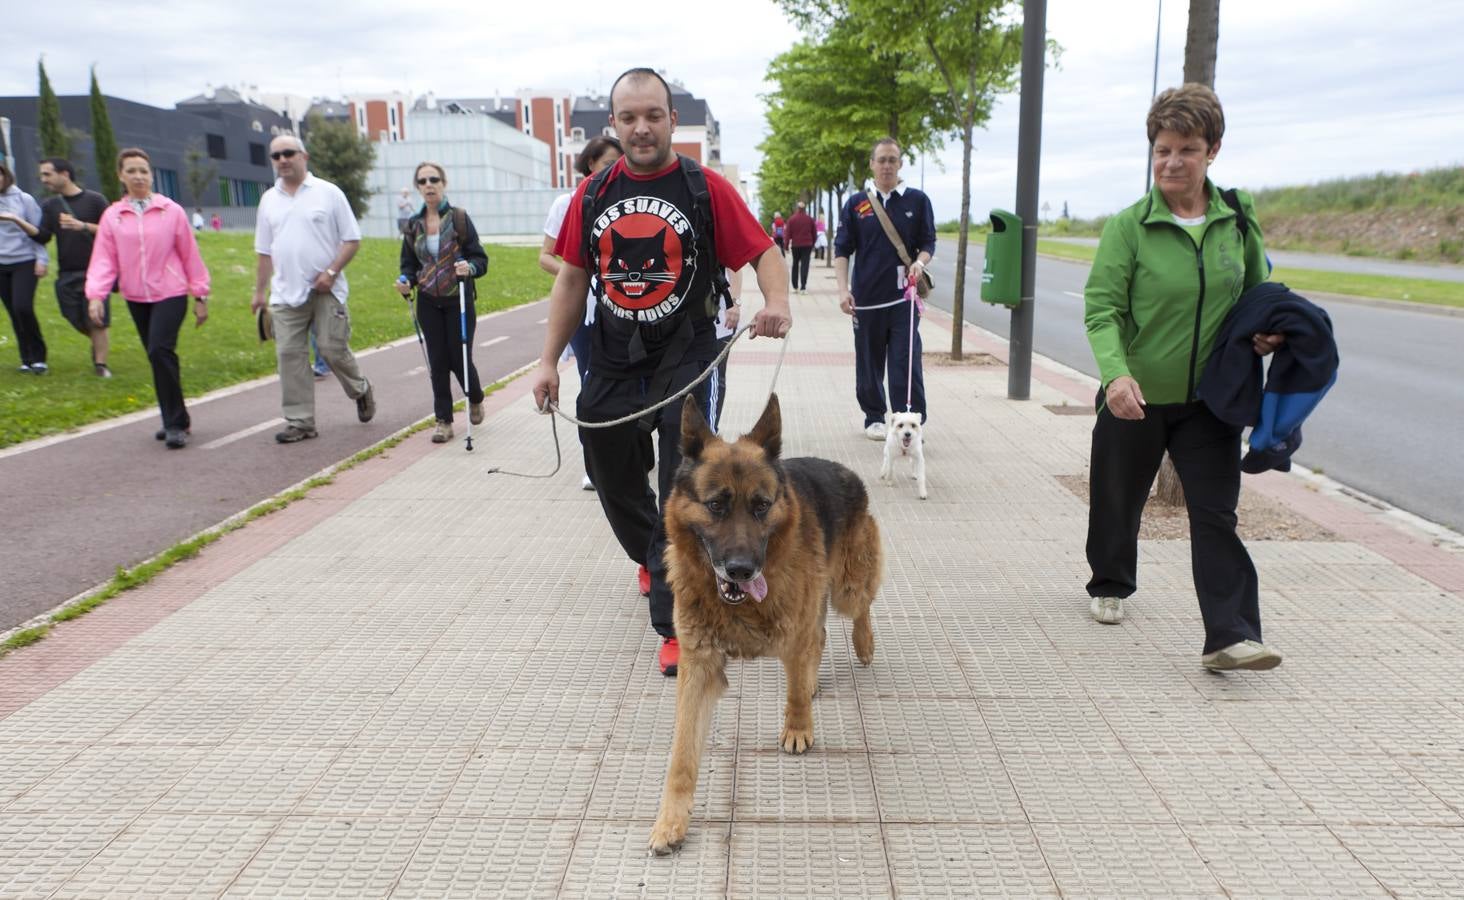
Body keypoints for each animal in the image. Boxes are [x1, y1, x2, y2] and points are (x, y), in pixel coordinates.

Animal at [650, 392, 878, 854]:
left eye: (761, 506)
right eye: (716, 505)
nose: (741, 570)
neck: (739, 608)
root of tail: (843, 469)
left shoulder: (791, 633)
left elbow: (794, 690)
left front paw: (798, 728)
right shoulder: (698, 668)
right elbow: (682, 754)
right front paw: (670, 821)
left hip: (848, 587)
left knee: (857, 610)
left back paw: (863, 644)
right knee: (819, 637)